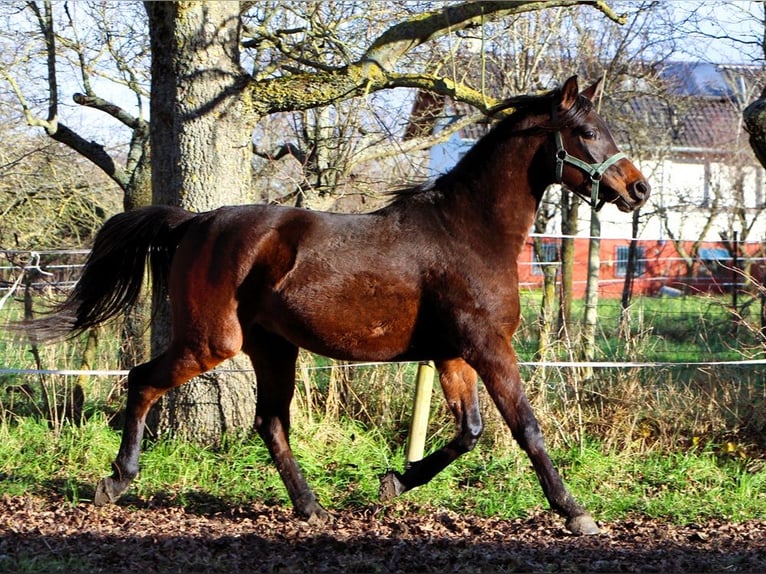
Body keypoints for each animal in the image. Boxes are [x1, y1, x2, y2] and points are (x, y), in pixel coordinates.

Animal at [31, 75, 656, 536]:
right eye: (587, 131)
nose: (639, 189)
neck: (468, 232)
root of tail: (195, 222)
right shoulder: (487, 347)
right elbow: (525, 427)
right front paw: (575, 511)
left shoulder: (453, 355)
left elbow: (470, 431)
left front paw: (394, 481)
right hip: (213, 341)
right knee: (143, 380)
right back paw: (116, 481)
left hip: (272, 348)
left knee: (270, 421)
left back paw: (310, 506)